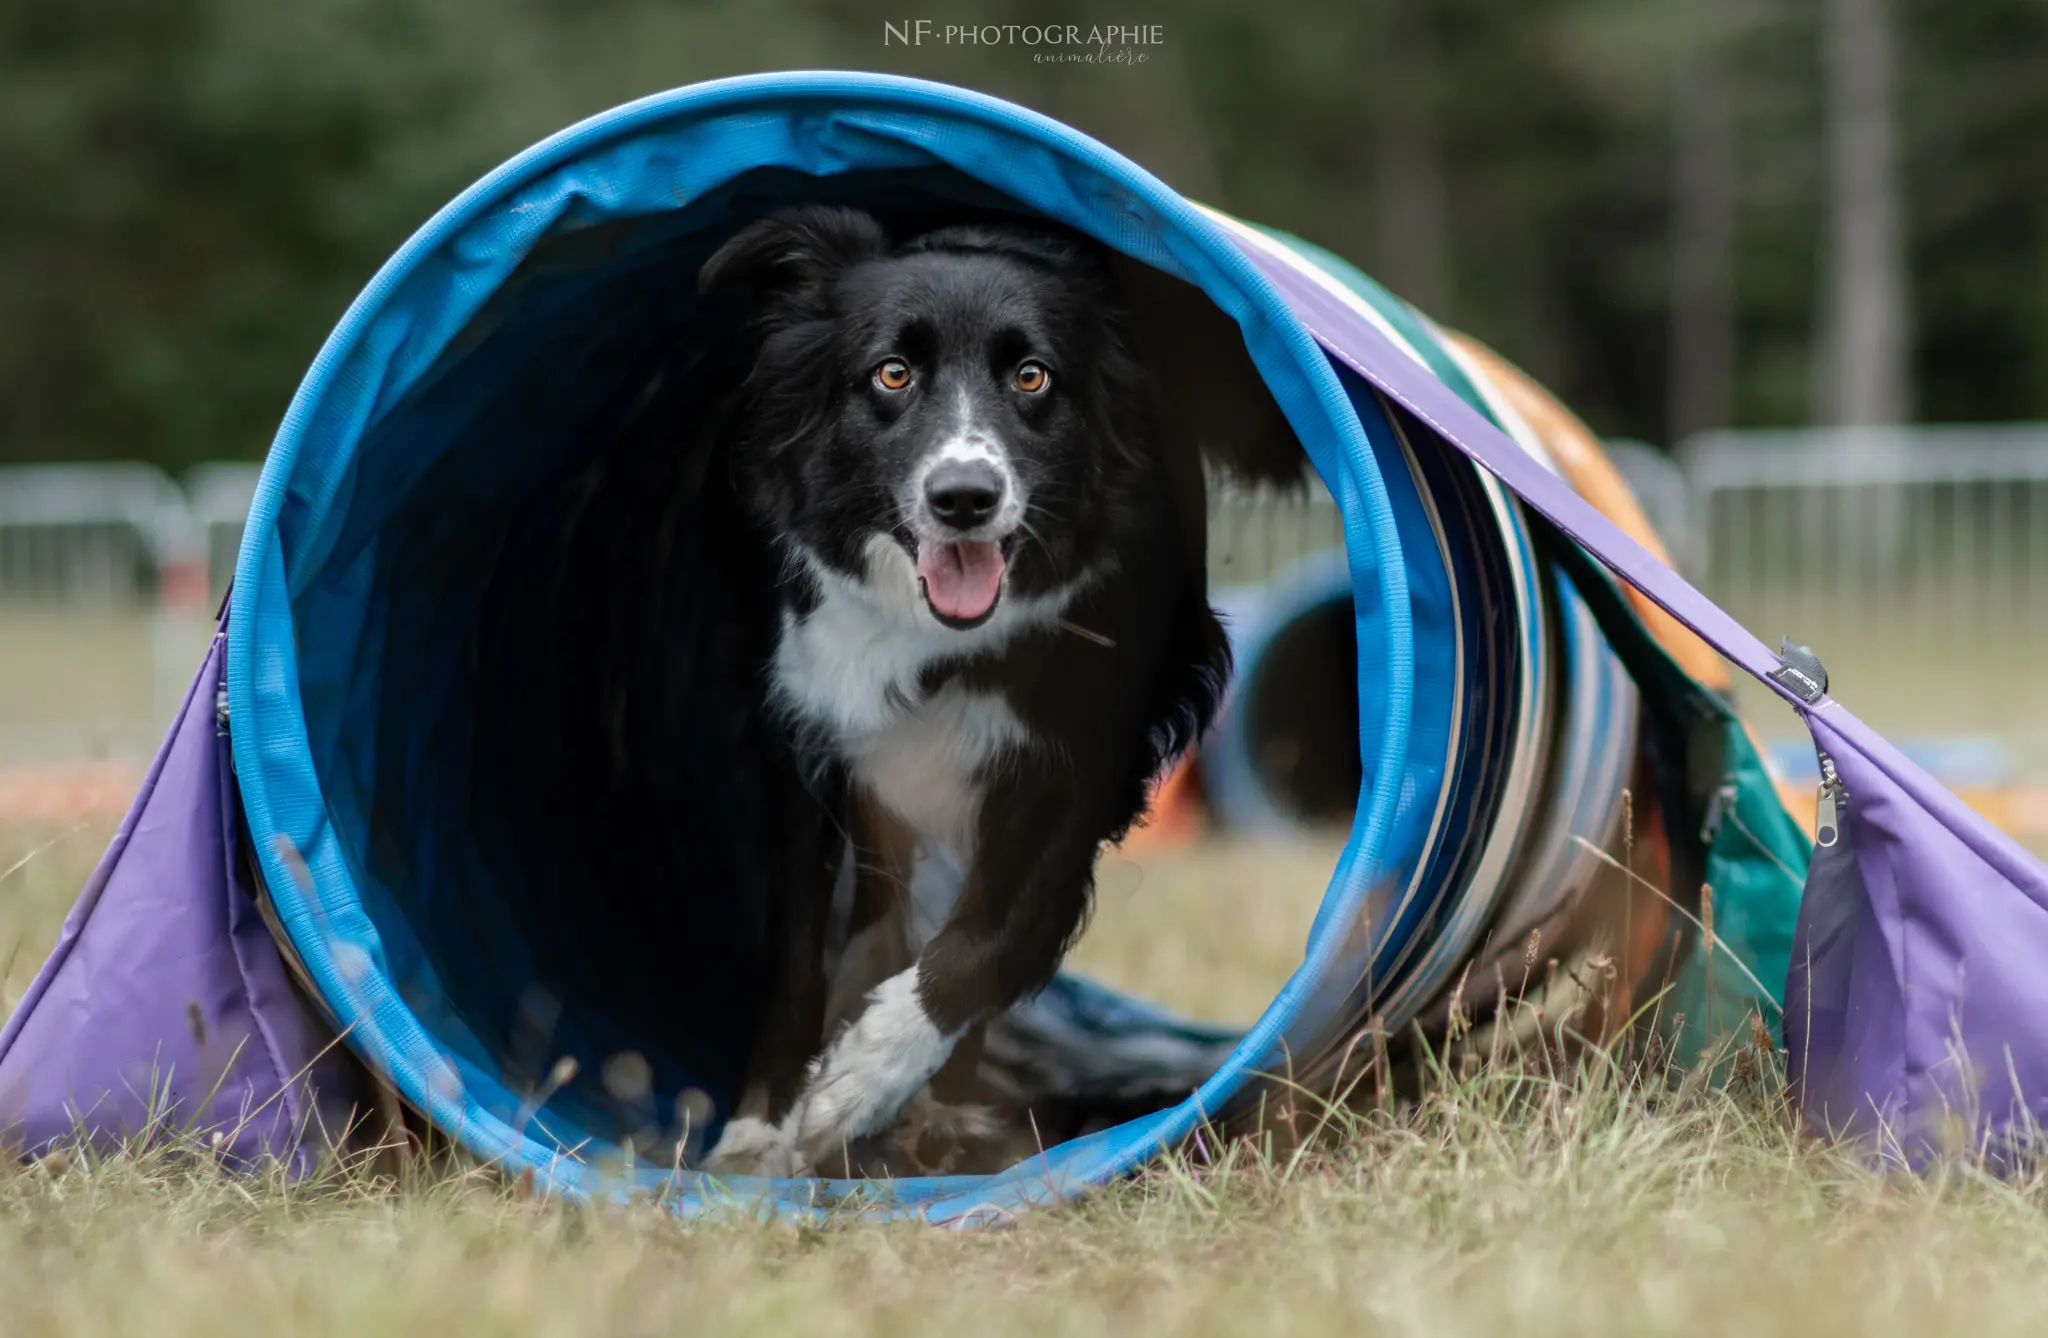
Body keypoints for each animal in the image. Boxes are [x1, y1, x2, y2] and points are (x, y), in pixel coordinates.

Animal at [696, 200, 1220, 1172]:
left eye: (1032, 375)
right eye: (892, 373)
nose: (965, 497)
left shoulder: (1073, 763)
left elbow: (995, 933)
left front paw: (865, 1078)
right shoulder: (814, 742)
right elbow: (799, 952)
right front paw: (760, 1124)